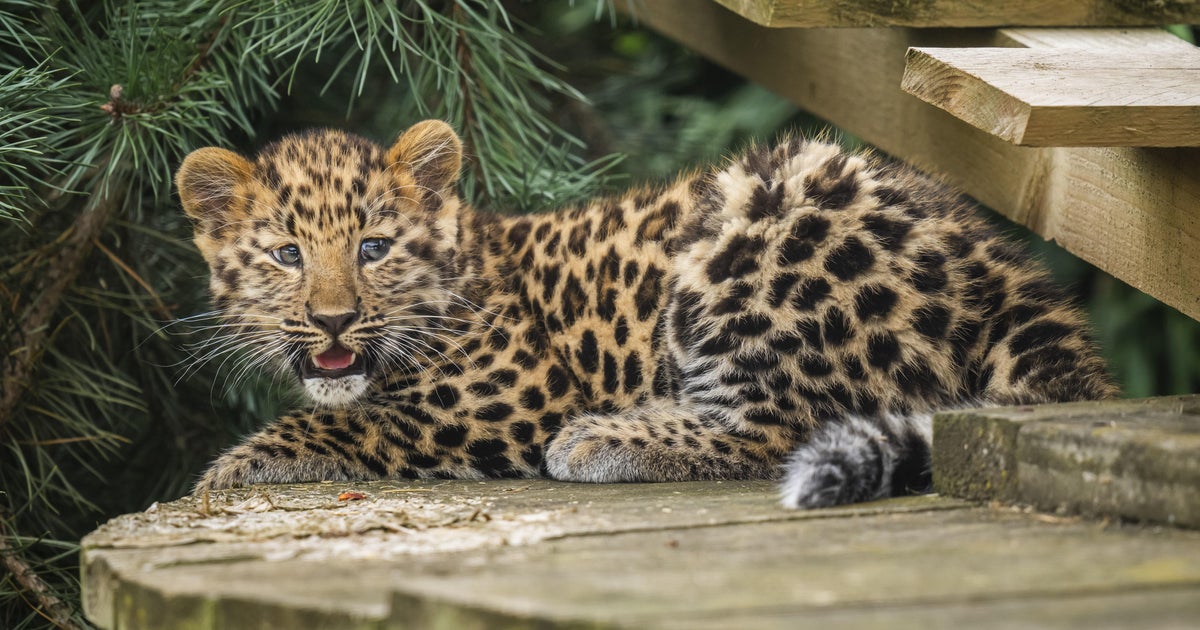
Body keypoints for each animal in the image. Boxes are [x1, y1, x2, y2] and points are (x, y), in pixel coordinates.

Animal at [176, 120, 1116, 509]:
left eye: (373, 247)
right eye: (286, 255)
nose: (334, 321)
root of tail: (1007, 277)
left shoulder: (507, 401)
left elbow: (356, 422)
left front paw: (232, 466)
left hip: (764, 210)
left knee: (782, 425)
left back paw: (604, 437)